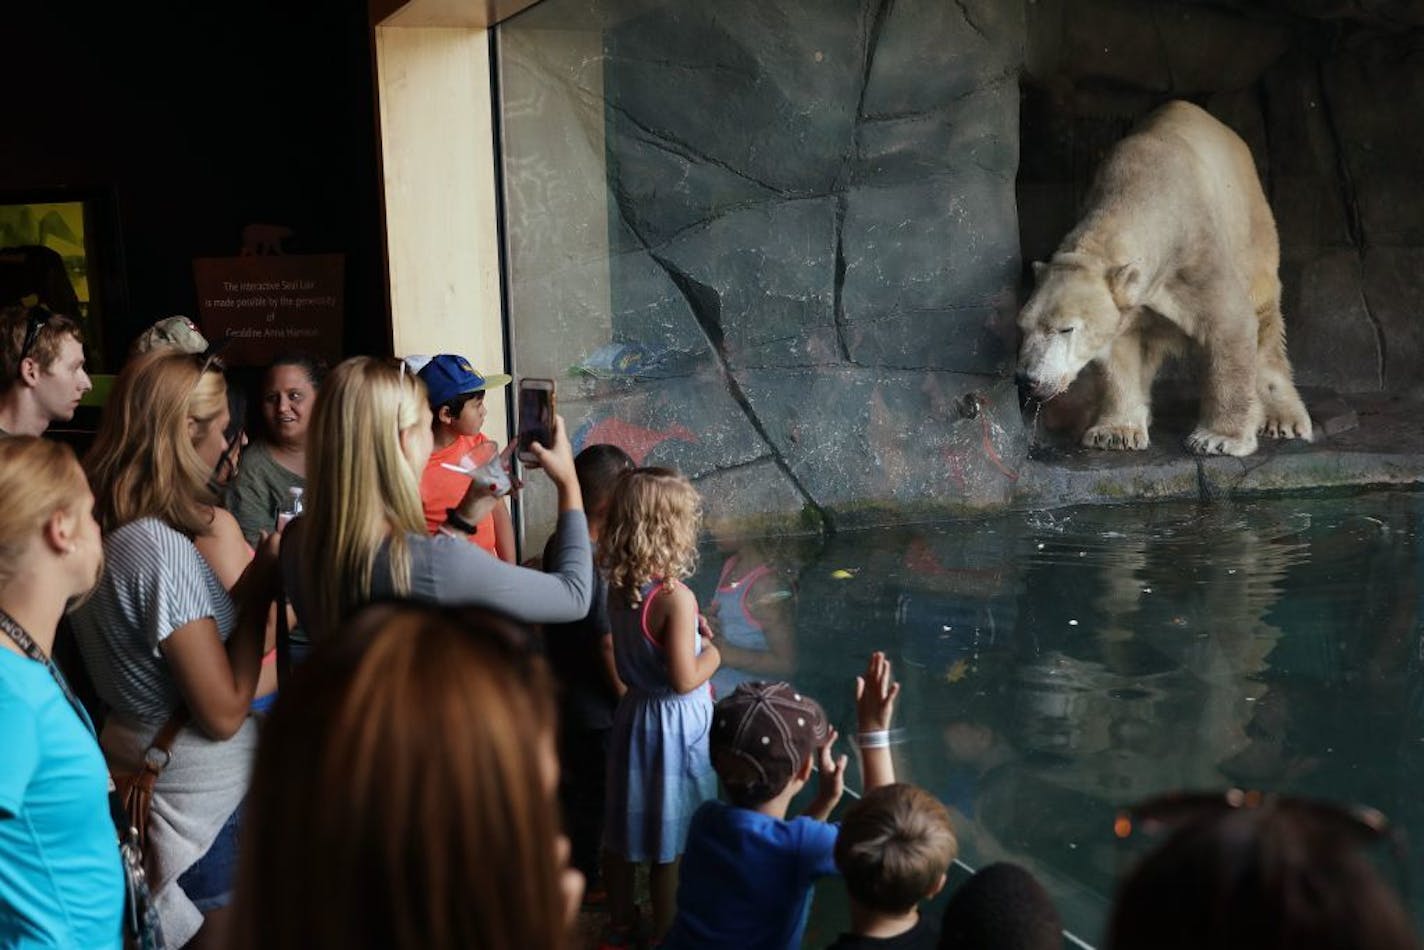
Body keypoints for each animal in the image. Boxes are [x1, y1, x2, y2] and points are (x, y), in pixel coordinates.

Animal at [1013, 100, 1310, 455]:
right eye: (1021, 326)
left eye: (1065, 328)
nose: (1027, 379)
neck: (1143, 191)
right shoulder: (1133, 300)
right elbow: (1121, 349)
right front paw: (1116, 432)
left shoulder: (1196, 254)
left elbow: (1230, 323)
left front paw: (1218, 438)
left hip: (1253, 227)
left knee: (1266, 319)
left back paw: (1283, 419)